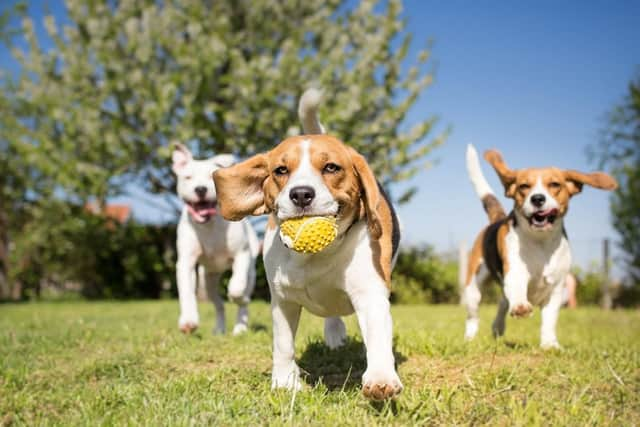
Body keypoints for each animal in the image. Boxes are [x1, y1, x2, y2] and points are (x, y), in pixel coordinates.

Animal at [172, 145, 260, 336]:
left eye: (210, 177)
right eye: (187, 177)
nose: (200, 189)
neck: (209, 225)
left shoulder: (241, 255)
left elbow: (236, 288)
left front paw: (238, 296)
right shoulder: (186, 262)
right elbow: (186, 292)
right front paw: (188, 321)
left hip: (251, 272)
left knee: (243, 298)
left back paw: (240, 327)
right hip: (208, 280)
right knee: (219, 305)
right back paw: (219, 329)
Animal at [211, 90, 400, 402]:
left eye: (331, 167)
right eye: (280, 170)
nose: (300, 194)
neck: (315, 256)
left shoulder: (370, 294)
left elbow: (377, 338)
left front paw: (381, 378)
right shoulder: (282, 300)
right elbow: (283, 344)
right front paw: (285, 382)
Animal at [462, 145, 616, 350]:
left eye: (555, 184)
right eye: (523, 186)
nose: (537, 199)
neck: (540, 242)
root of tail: (496, 220)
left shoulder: (556, 288)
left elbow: (549, 320)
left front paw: (550, 344)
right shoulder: (516, 272)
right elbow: (518, 290)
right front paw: (521, 307)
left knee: (503, 303)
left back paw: (498, 328)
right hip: (473, 288)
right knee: (473, 316)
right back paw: (470, 338)